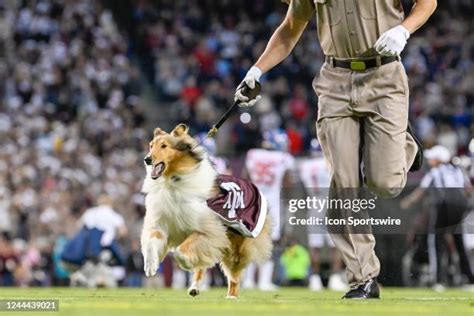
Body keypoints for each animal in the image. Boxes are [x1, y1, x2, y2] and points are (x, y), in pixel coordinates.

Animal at [141, 122, 272, 298]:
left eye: (164, 146)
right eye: (151, 145)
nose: (147, 159)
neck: (173, 182)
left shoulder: (208, 232)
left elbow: (181, 252)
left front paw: (186, 263)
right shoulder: (162, 223)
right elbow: (151, 241)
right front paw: (151, 265)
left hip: (237, 247)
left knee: (234, 276)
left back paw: (231, 296)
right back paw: (195, 288)